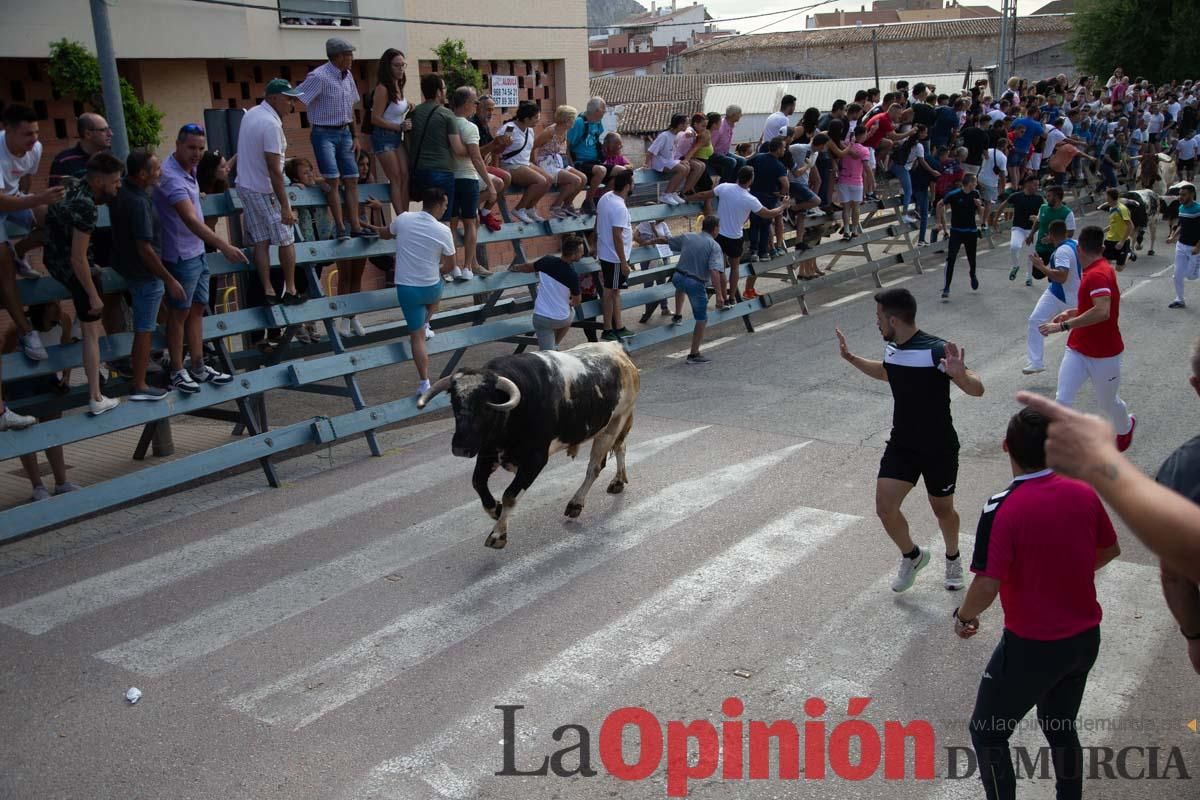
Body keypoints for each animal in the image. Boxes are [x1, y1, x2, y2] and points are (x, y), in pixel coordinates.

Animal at [415, 338, 638, 551]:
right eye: (454, 402)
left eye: (486, 405)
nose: (460, 447)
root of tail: (616, 350)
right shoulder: (487, 453)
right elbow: (478, 483)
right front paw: (495, 510)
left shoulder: (535, 460)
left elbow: (510, 495)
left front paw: (498, 535)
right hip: (614, 426)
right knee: (620, 447)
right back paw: (618, 481)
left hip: (613, 425)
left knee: (595, 467)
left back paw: (576, 503)